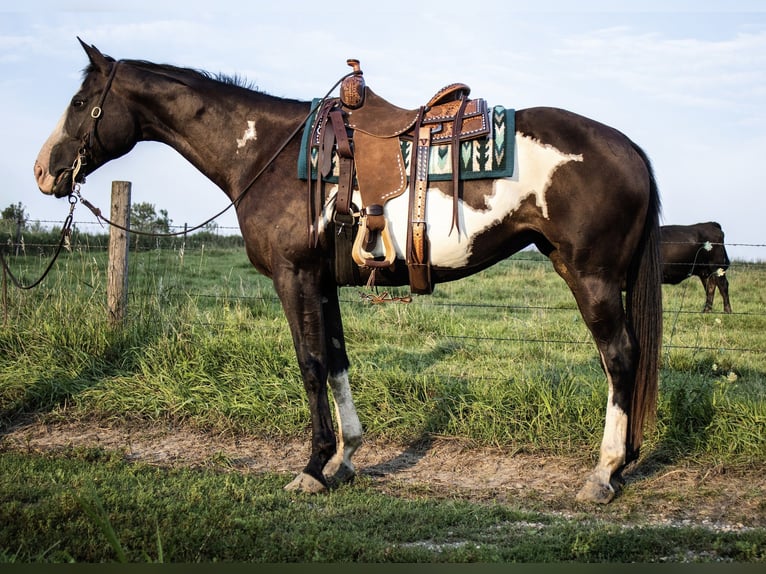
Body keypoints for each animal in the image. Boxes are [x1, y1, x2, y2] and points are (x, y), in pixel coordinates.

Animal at [33, 39, 662, 504]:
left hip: (591, 277)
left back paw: (604, 473)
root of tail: (629, 147)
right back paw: (622, 464)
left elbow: (310, 365)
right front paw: (345, 458)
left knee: (620, 358)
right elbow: (335, 361)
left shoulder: (294, 277)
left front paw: (312, 467)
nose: (44, 170)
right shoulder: (322, 281)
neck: (265, 152)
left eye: (80, 101)